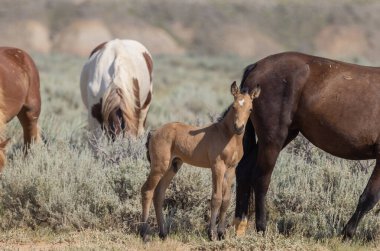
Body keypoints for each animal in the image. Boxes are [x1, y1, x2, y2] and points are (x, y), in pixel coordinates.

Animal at [140, 81, 262, 240]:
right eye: (234, 106)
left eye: (250, 109)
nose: (239, 127)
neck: (227, 135)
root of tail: (154, 132)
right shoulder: (217, 167)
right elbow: (216, 198)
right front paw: (211, 234)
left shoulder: (230, 169)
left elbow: (226, 200)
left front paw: (221, 233)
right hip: (159, 166)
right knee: (147, 191)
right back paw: (144, 233)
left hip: (172, 166)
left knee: (159, 194)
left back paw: (163, 233)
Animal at [233, 51, 380, 239]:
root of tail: (257, 66)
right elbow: (369, 197)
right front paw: (347, 234)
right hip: (273, 138)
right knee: (261, 178)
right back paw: (261, 229)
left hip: (284, 135)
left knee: (244, 170)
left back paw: (238, 226)